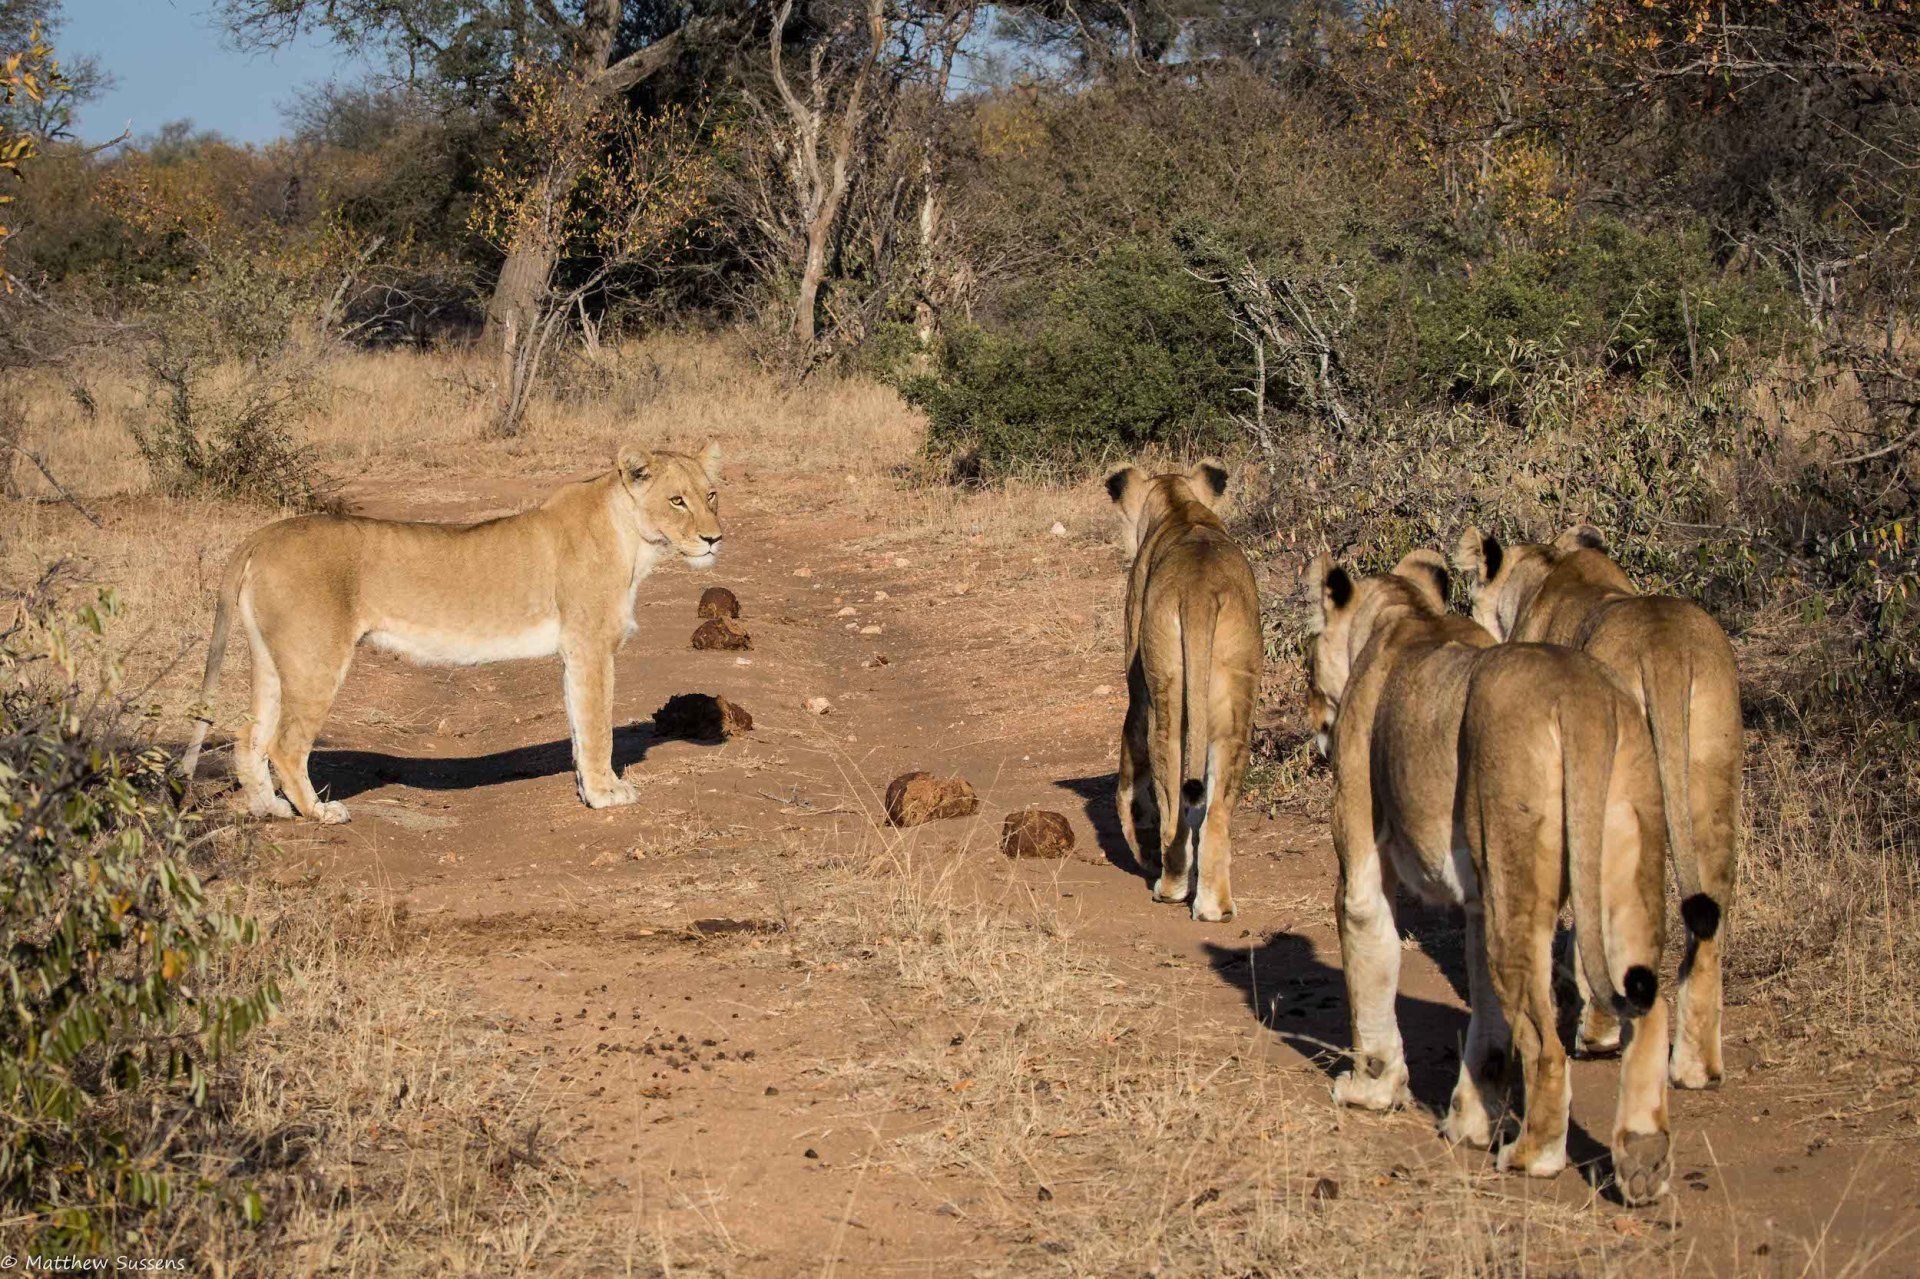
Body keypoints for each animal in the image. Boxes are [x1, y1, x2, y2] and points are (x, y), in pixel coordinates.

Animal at [177, 443, 725, 822]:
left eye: (712, 495)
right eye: (677, 501)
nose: (715, 538)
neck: (635, 541)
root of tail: (263, 534)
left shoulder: (574, 652)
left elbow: (578, 723)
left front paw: (592, 788)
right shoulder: (591, 646)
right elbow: (598, 727)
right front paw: (606, 794)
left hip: (272, 659)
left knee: (248, 736)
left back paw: (270, 809)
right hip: (316, 658)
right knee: (285, 745)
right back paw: (319, 812)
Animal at [1105, 461, 1262, 922]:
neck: (1177, 504)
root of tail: (1199, 591)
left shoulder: (1137, 684)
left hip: (1165, 693)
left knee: (1172, 798)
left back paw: (1171, 886)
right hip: (1238, 694)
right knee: (1216, 811)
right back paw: (1214, 907)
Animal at [1306, 550, 1672, 1204]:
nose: (1309, 714)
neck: (1405, 614)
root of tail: (1583, 701)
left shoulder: (1365, 858)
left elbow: (1368, 950)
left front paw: (1371, 1089)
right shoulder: (1481, 896)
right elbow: (1489, 1030)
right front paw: (1470, 1123)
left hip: (1516, 881)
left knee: (1547, 1046)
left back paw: (1534, 1156)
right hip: (1615, 866)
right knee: (1648, 1009)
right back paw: (1642, 1159)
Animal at [1453, 524, 1741, 1090]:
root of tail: (1665, 650)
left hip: (1614, 781)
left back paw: (1599, 1034)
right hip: (1712, 777)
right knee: (1709, 920)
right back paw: (1695, 1068)